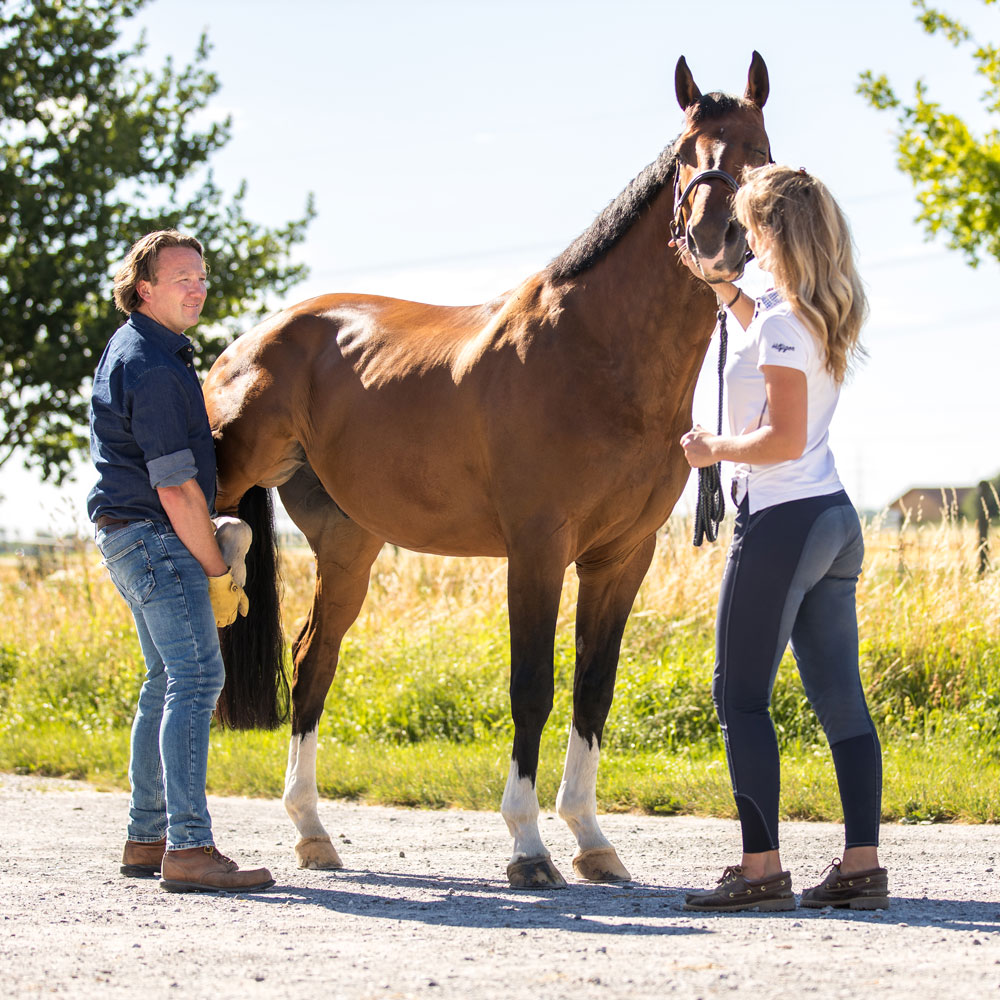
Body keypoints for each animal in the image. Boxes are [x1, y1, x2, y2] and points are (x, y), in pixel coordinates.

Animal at [205, 50, 772, 888]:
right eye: (684, 156)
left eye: (759, 149)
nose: (714, 237)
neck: (596, 355)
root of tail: (249, 342)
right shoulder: (536, 549)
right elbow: (531, 687)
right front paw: (529, 847)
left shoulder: (620, 558)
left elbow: (593, 690)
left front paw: (593, 840)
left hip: (348, 544)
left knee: (313, 661)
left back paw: (313, 832)